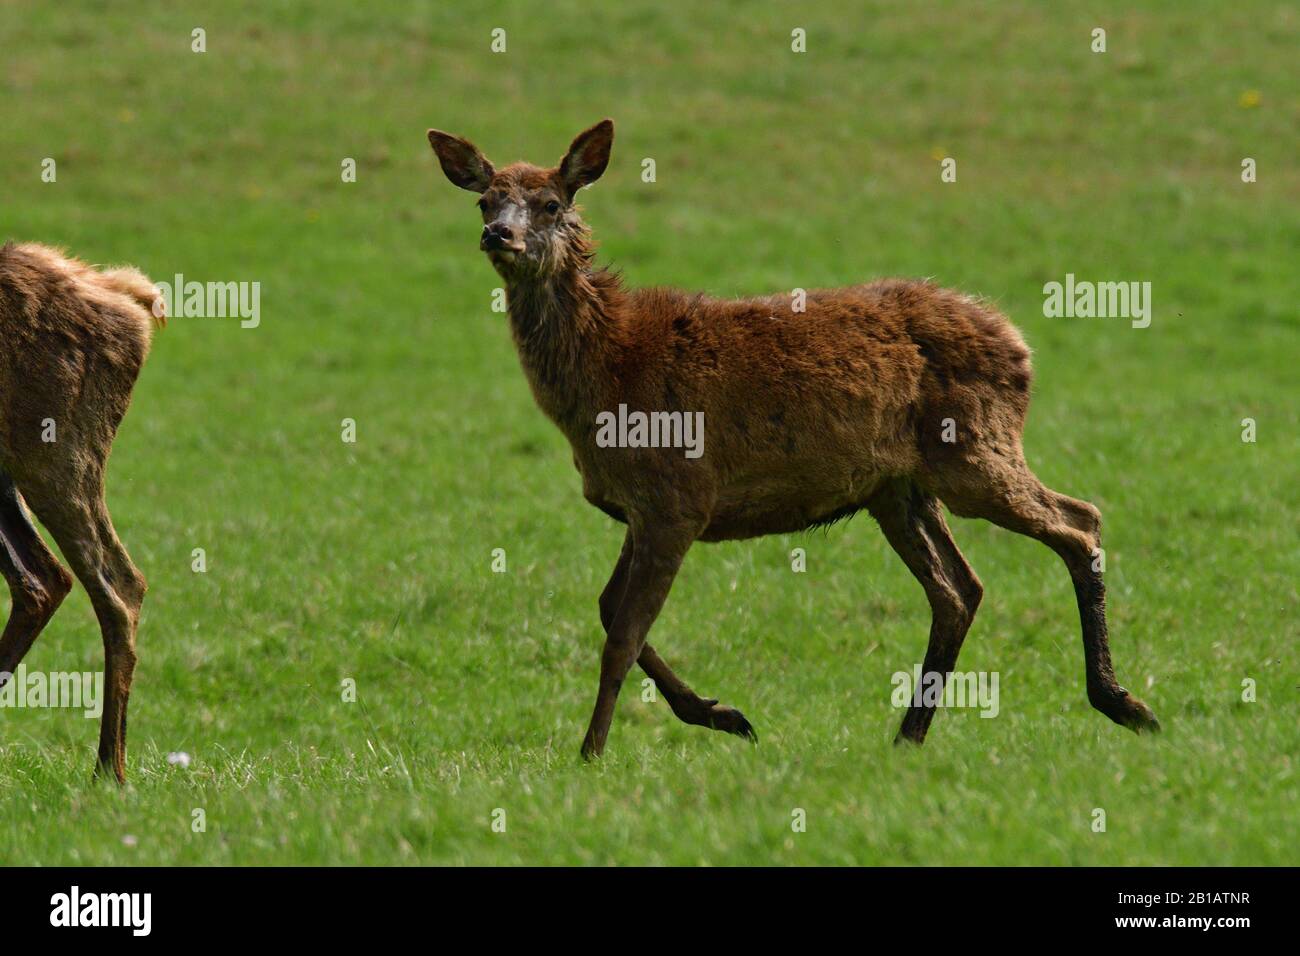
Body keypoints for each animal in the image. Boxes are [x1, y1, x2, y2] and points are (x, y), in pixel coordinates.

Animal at [426, 121, 1159, 764]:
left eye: (551, 202)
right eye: (486, 198)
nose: (498, 233)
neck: (605, 379)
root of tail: (1020, 345)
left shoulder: (678, 496)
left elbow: (624, 634)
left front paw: (591, 752)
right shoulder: (640, 506)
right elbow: (609, 612)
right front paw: (722, 714)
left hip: (975, 450)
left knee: (1079, 522)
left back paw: (1124, 704)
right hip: (899, 489)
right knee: (960, 590)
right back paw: (909, 736)